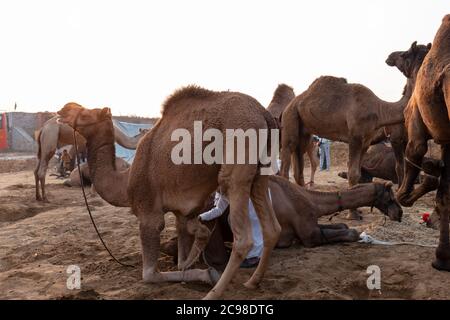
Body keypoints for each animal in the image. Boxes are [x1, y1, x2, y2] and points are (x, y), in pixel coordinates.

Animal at [56, 85, 282, 300]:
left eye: (87, 114)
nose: (64, 108)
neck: (125, 182)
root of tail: (264, 115)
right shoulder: (183, 213)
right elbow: (184, 252)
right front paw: (191, 265)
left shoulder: (149, 214)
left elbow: (149, 274)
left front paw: (207, 273)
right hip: (261, 171)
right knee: (272, 227)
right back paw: (252, 281)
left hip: (237, 162)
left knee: (243, 237)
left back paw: (213, 293)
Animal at [282, 42, 428, 220]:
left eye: (405, 53)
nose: (389, 57)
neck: (380, 110)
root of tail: (292, 104)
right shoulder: (356, 138)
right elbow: (352, 174)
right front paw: (352, 214)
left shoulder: (366, 141)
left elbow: (358, 174)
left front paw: (357, 210)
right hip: (290, 119)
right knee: (286, 160)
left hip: (304, 130)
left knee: (298, 168)